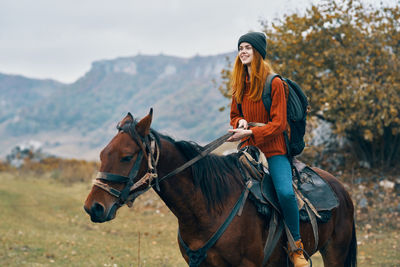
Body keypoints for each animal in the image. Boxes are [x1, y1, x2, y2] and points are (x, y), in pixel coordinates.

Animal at [83, 110, 356, 266]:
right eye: (102, 154)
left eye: (127, 157)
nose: (93, 207)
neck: (207, 209)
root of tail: (341, 189)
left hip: (335, 253)